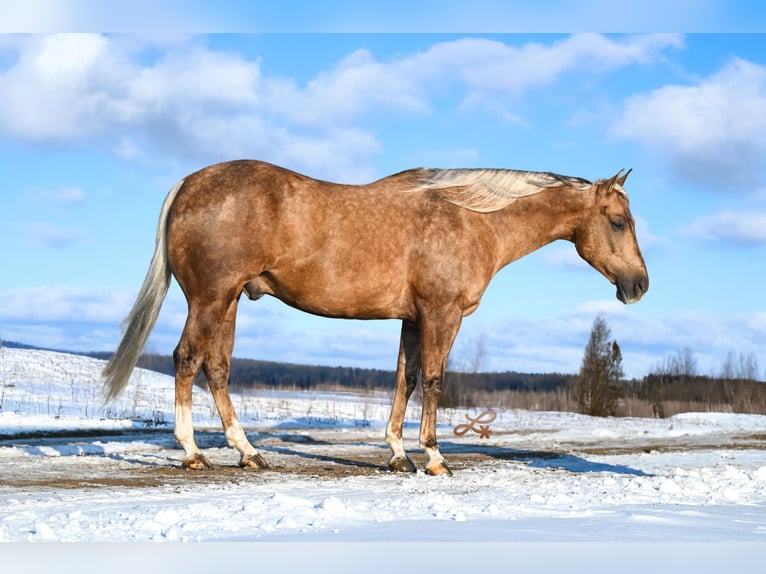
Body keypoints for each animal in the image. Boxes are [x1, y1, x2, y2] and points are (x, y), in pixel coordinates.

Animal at [101, 160, 648, 476]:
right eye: (618, 222)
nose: (639, 285)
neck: (472, 218)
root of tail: (189, 184)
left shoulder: (413, 318)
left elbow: (405, 379)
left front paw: (398, 454)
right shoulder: (442, 314)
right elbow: (433, 380)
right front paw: (434, 458)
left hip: (229, 301)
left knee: (216, 369)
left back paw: (248, 452)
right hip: (211, 299)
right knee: (187, 359)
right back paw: (193, 452)